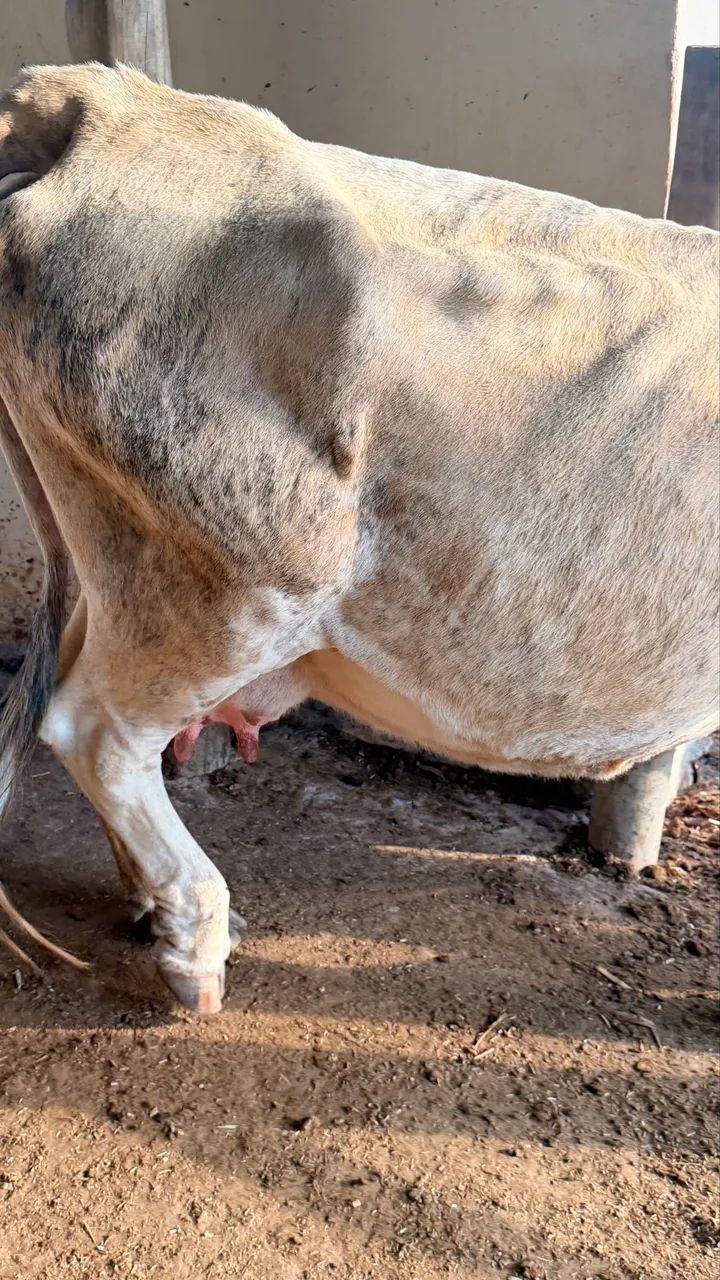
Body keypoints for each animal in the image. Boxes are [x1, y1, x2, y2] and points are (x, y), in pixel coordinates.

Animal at [0, 63, 717, 1012]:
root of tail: (102, 104)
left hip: (116, 567)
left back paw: (150, 905)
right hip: (240, 589)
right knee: (95, 730)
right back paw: (196, 941)